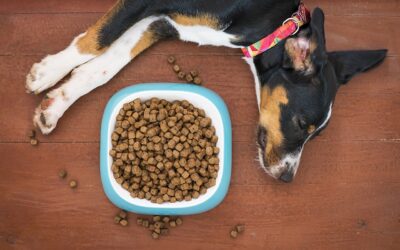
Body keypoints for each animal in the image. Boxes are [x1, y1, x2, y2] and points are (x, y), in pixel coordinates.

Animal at [25, 0, 388, 183]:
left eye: (317, 135)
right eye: (302, 124)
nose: (287, 177)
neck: (272, 22)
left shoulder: (163, 22)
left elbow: (105, 65)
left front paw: (57, 103)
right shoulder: (147, 2)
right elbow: (99, 38)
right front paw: (47, 72)